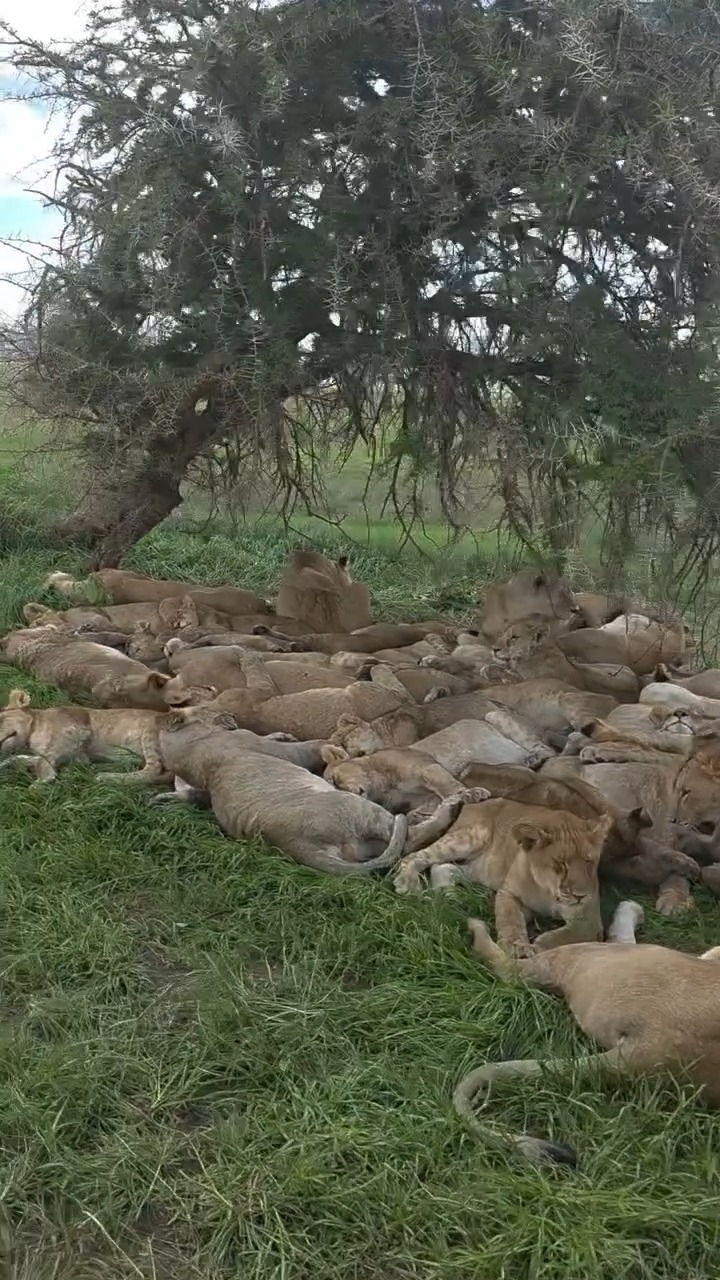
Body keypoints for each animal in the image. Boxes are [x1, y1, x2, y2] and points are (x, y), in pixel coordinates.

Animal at [392, 797, 611, 955]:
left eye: (589, 861)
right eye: (561, 863)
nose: (580, 896)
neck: (547, 891)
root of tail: (474, 803)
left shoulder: (589, 919)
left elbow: (565, 936)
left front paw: (537, 946)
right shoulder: (508, 892)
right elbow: (510, 919)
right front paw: (518, 947)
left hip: (483, 867)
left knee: (442, 867)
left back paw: (451, 898)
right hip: (472, 837)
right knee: (414, 856)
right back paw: (408, 885)